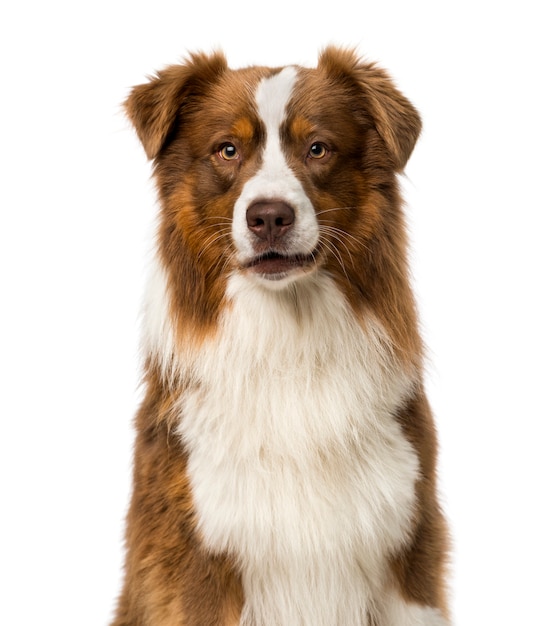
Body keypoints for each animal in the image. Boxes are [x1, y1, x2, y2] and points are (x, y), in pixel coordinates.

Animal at [112, 46, 448, 620]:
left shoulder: (407, 547)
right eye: (227, 150)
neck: (287, 334)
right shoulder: (196, 557)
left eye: (317, 148)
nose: (269, 216)